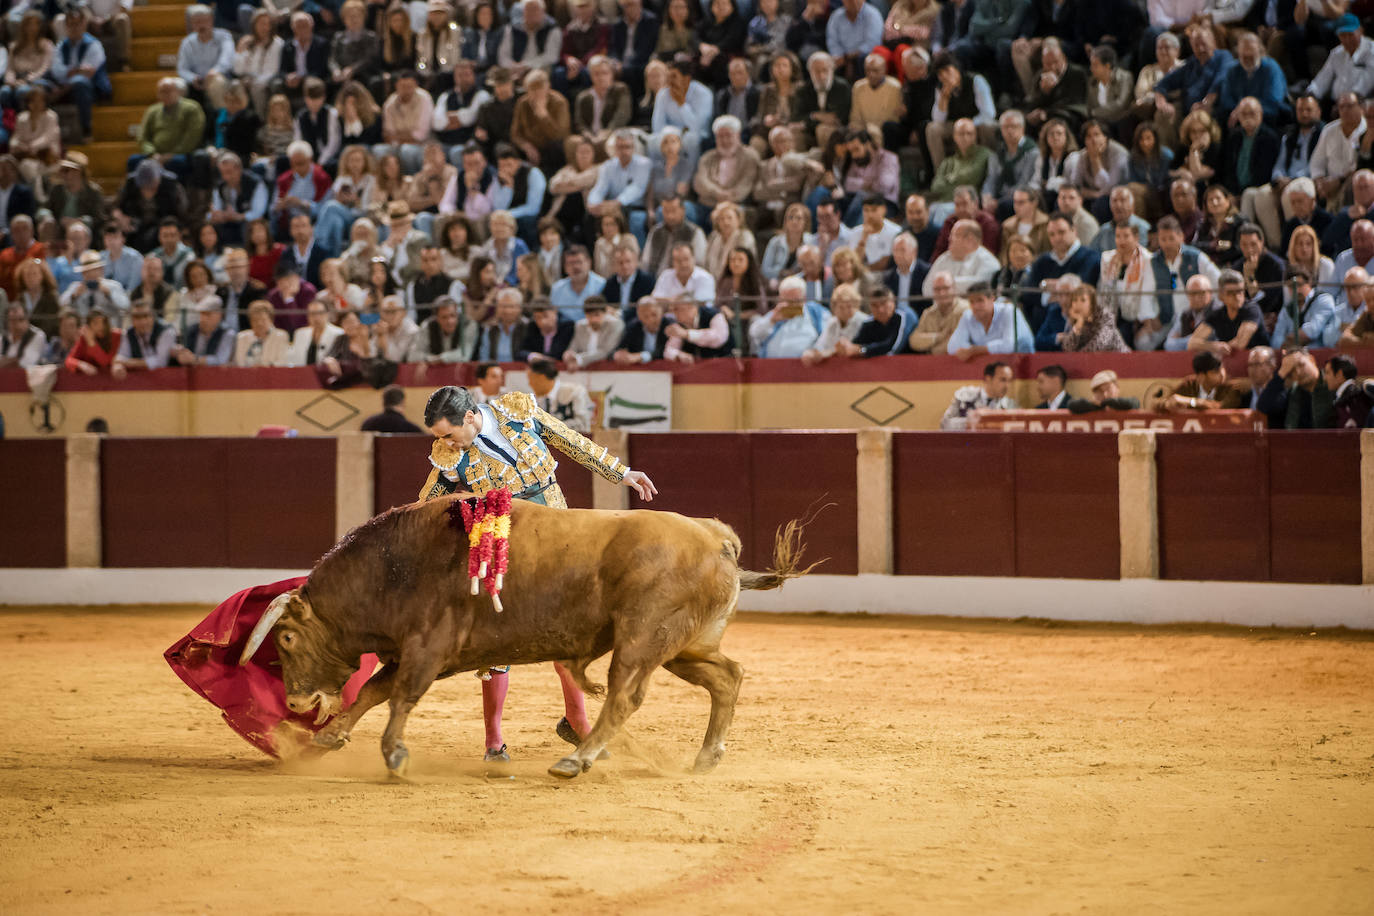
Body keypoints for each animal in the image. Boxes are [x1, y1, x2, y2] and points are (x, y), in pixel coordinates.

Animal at [240, 497, 807, 780]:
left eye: (285, 639)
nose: (296, 702)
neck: (392, 568)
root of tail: (716, 536)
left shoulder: (428, 647)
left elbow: (398, 696)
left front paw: (394, 756)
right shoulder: (417, 652)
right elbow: (375, 691)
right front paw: (327, 738)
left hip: (644, 637)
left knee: (624, 695)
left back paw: (577, 760)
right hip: (685, 646)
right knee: (727, 678)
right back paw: (706, 757)